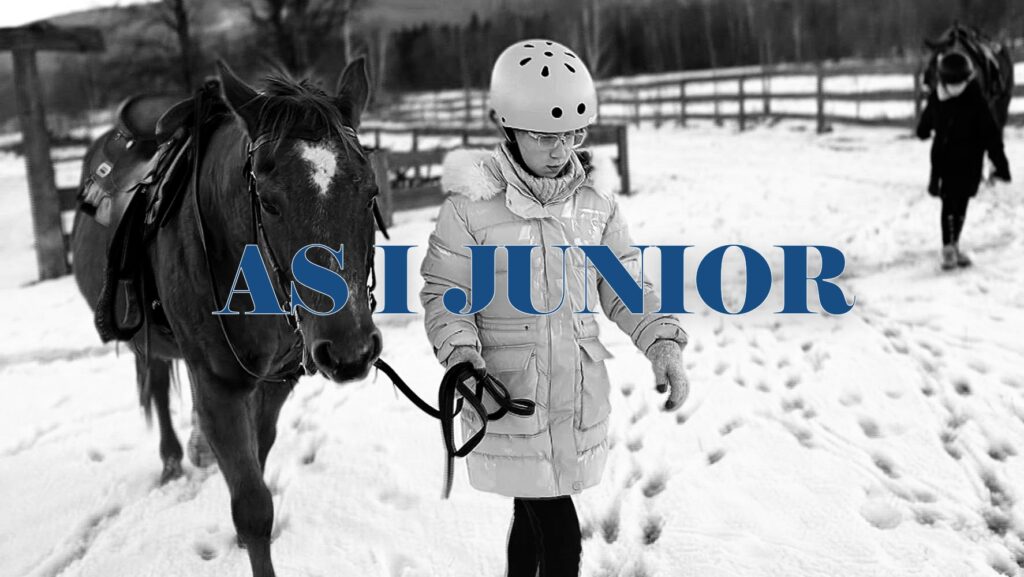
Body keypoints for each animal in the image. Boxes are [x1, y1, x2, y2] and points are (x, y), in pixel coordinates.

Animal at [70, 58, 383, 577]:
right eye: (271, 202)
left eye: (370, 193)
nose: (349, 352)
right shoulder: (217, 384)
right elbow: (253, 506)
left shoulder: (277, 381)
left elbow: (260, 450)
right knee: (158, 385)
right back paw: (172, 461)